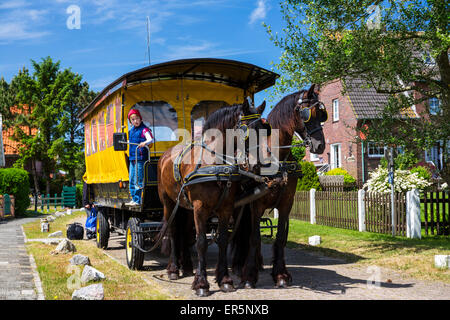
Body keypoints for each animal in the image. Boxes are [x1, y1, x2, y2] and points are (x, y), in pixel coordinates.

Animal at [158, 99, 270, 296]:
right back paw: (173, 269)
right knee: (172, 231)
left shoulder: (226, 208)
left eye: (265, 129)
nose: (262, 164)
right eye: (247, 130)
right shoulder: (200, 207)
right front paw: (201, 284)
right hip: (169, 203)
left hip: (185, 208)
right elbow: (202, 242)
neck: (216, 164)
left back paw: (186, 267)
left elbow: (223, 240)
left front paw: (224, 280)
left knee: (183, 232)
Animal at [232, 84, 326, 288]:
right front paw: (249, 276)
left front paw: (280, 274)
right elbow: (254, 237)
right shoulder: (255, 204)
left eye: (323, 115)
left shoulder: (286, 204)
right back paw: (238, 265)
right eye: (307, 113)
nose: (320, 145)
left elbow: (281, 237)